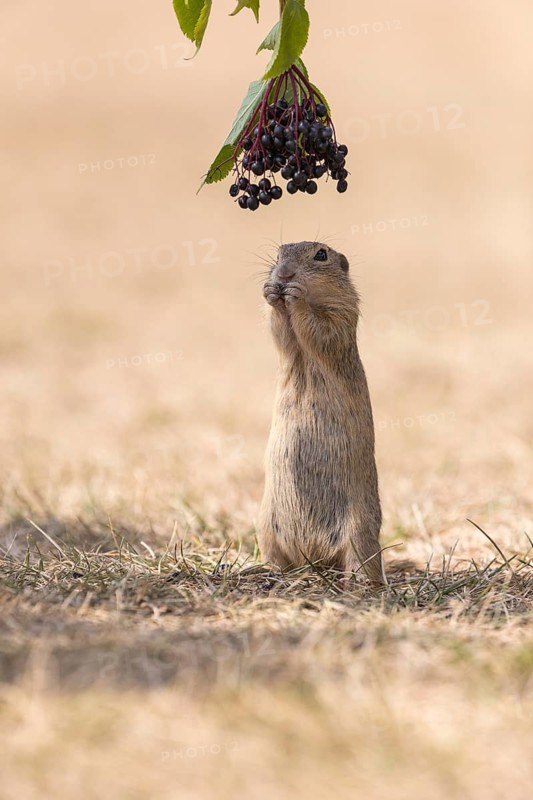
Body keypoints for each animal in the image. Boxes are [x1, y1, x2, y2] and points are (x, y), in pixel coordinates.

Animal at [258, 241, 385, 584]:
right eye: (278, 254)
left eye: (321, 255)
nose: (284, 274)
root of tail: (313, 560)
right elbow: (281, 333)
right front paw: (270, 293)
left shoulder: (342, 315)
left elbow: (320, 331)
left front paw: (296, 295)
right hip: (264, 526)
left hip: (360, 530)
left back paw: (360, 583)